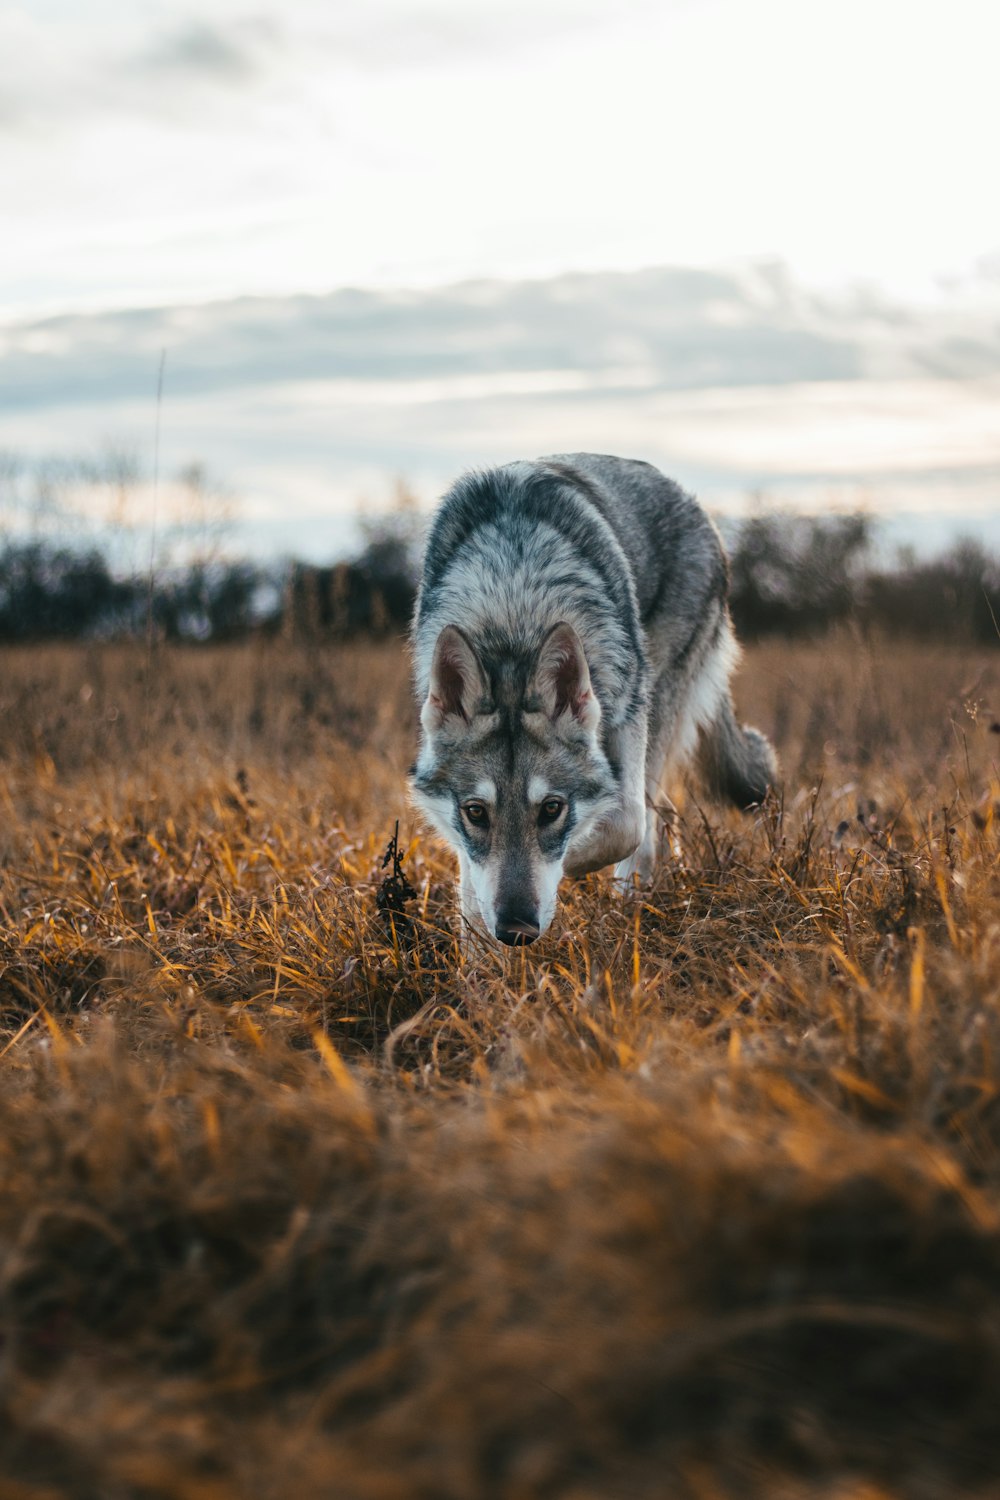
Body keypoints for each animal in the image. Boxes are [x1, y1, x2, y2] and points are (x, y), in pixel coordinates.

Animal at [410, 450, 779, 942]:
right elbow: (472, 882)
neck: (514, 613)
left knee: (651, 817)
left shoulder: (625, 725)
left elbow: (623, 827)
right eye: (476, 812)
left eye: (551, 809)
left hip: (656, 710)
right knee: (663, 813)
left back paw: (632, 900)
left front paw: (574, 868)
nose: (517, 929)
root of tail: (695, 505)